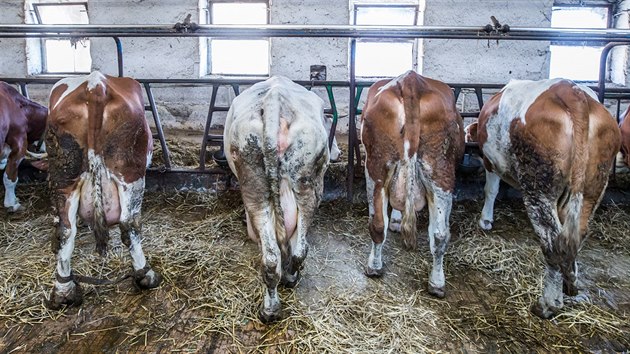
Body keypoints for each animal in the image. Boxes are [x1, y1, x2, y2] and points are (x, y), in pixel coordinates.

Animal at [47, 72, 163, 310]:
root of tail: (95, 85)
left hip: (66, 176)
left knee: (66, 229)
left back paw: (64, 290)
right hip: (130, 174)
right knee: (128, 224)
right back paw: (145, 275)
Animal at [226, 76, 336, 322]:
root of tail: (275, 98)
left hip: (256, 185)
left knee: (274, 253)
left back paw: (273, 304)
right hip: (306, 183)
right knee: (292, 251)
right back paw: (285, 287)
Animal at [478, 79, 624, 320]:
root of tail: (571, 92)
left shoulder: (490, 162)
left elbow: (491, 189)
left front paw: (485, 220)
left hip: (538, 185)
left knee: (552, 242)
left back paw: (548, 304)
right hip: (593, 186)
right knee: (574, 235)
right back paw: (569, 282)